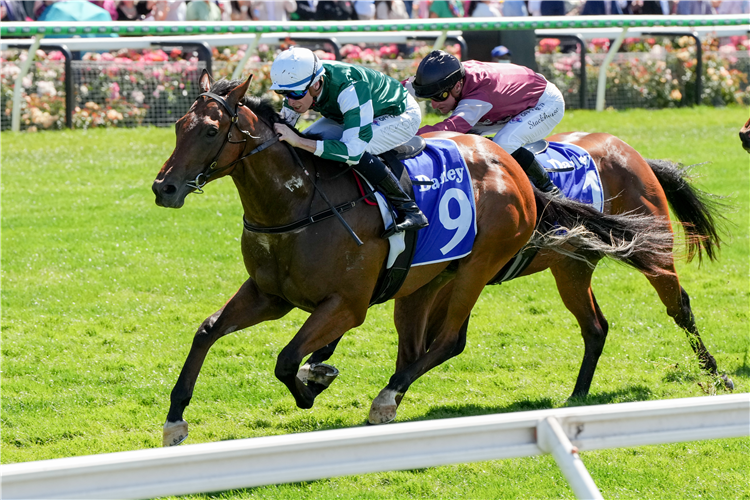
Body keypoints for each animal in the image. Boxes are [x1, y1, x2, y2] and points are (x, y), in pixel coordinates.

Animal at [151, 73, 724, 446]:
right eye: (177, 125)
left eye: (209, 131)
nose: (164, 188)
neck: (302, 201)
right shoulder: (270, 295)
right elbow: (207, 330)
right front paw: (176, 418)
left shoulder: (346, 305)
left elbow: (287, 359)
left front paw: (311, 386)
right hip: (547, 267)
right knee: (590, 327)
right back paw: (576, 398)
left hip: (509, 264)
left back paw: (716, 376)